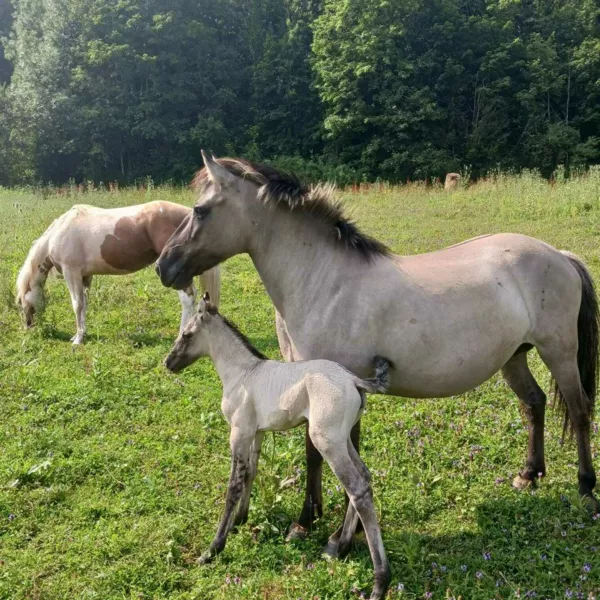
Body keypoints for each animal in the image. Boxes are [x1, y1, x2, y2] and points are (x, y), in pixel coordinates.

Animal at [17, 200, 221, 344]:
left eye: (21, 303)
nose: (28, 327)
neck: (59, 233)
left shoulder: (71, 273)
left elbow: (77, 304)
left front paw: (77, 339)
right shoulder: (85, 276)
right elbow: (84, 304)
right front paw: (82, 334)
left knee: (187, 298)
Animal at [156, 151, 600, 540]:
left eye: (200, 210)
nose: (163, 266)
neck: (324, 281)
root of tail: (559, 255)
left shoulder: (330, 384)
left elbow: (323, 452)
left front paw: (314, 524)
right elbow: (322, 452)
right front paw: (322, 520)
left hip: (559, 352)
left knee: (578, 410)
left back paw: (585, 488)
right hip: (514, 357)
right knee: (534, 403)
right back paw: (529, 475)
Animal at [164, 294, 392, 600]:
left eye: (187, 334)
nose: (169, 362)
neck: (243, 372)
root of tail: (353, 380)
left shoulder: (237, 433)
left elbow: (233, 485)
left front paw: (213, 548)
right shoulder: (256, 432)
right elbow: (250, 473)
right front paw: (239, 521)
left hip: (326, 441)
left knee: (357, 488)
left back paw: (379, 582)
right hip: (343, 439)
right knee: (365, 478)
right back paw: (340, 546)